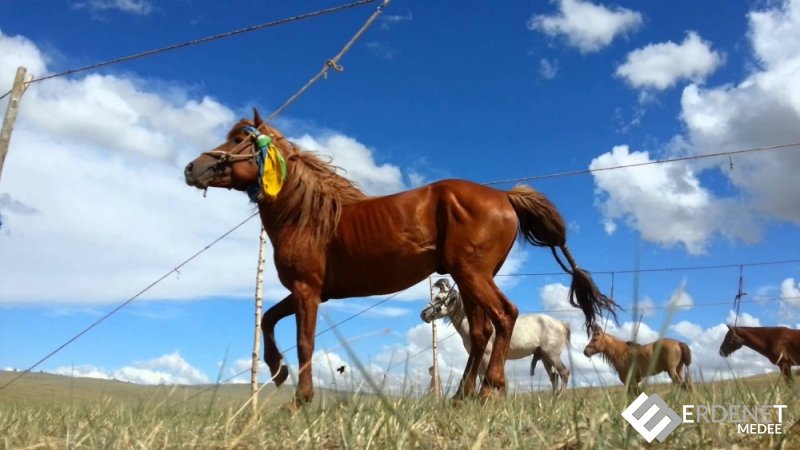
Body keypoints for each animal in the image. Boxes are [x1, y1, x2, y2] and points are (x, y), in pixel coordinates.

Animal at [422, 278, 572, 394]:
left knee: (564, 373)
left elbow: (487, 378)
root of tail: (561, 324)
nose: (423, 314)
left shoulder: (487, 356)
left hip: (552, 355)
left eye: (438, 298)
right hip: (545, 357)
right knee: (554, 377)